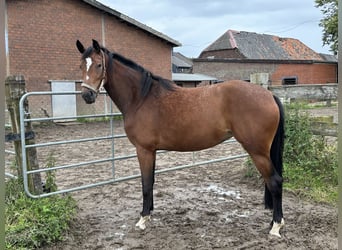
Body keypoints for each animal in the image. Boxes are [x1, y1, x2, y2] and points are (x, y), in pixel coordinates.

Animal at [76, 39, 284, 236]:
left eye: (99, 65)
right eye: (80, 66)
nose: (87, 95)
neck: (141, 98)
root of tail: (269, 95)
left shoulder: (144, 150)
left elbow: (145, 184)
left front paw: (143, 218)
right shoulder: (151, 151)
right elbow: (151, 181)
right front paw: (149, 213)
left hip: (257, 151)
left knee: (274, 181)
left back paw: (276, 226)